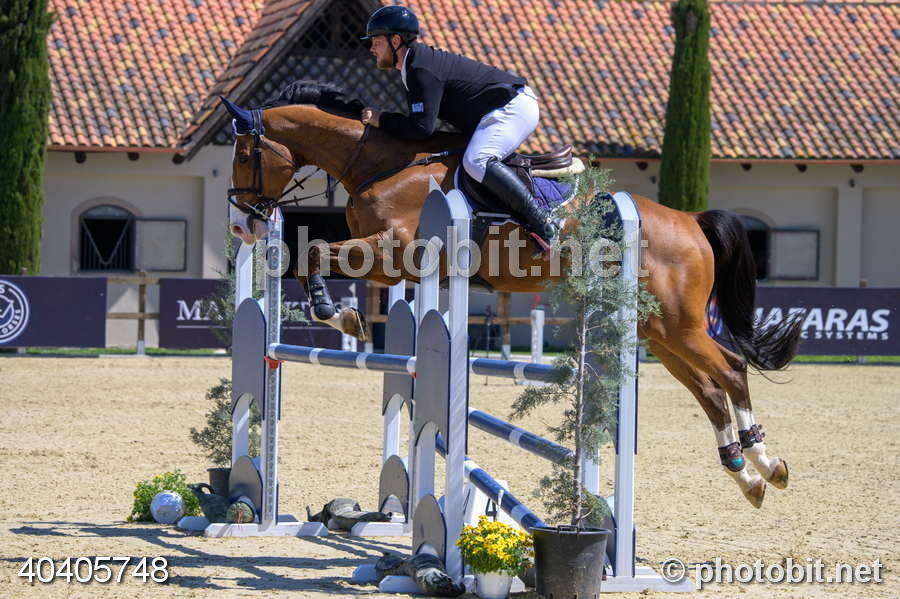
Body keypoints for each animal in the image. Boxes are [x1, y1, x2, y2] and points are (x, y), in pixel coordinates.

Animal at [221, 82, 802, 508]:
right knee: (709, 387)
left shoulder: (396, 251)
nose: (243, 226)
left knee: (730, 370)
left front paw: (336, 316)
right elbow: (315, 257)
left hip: (678, 324)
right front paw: (342, 315)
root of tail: (691, 220)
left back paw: (763, 462)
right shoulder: (387, 265)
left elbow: (314, 251)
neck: (382, 165)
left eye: (245, 153)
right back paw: (751, 475)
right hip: (656, 329)